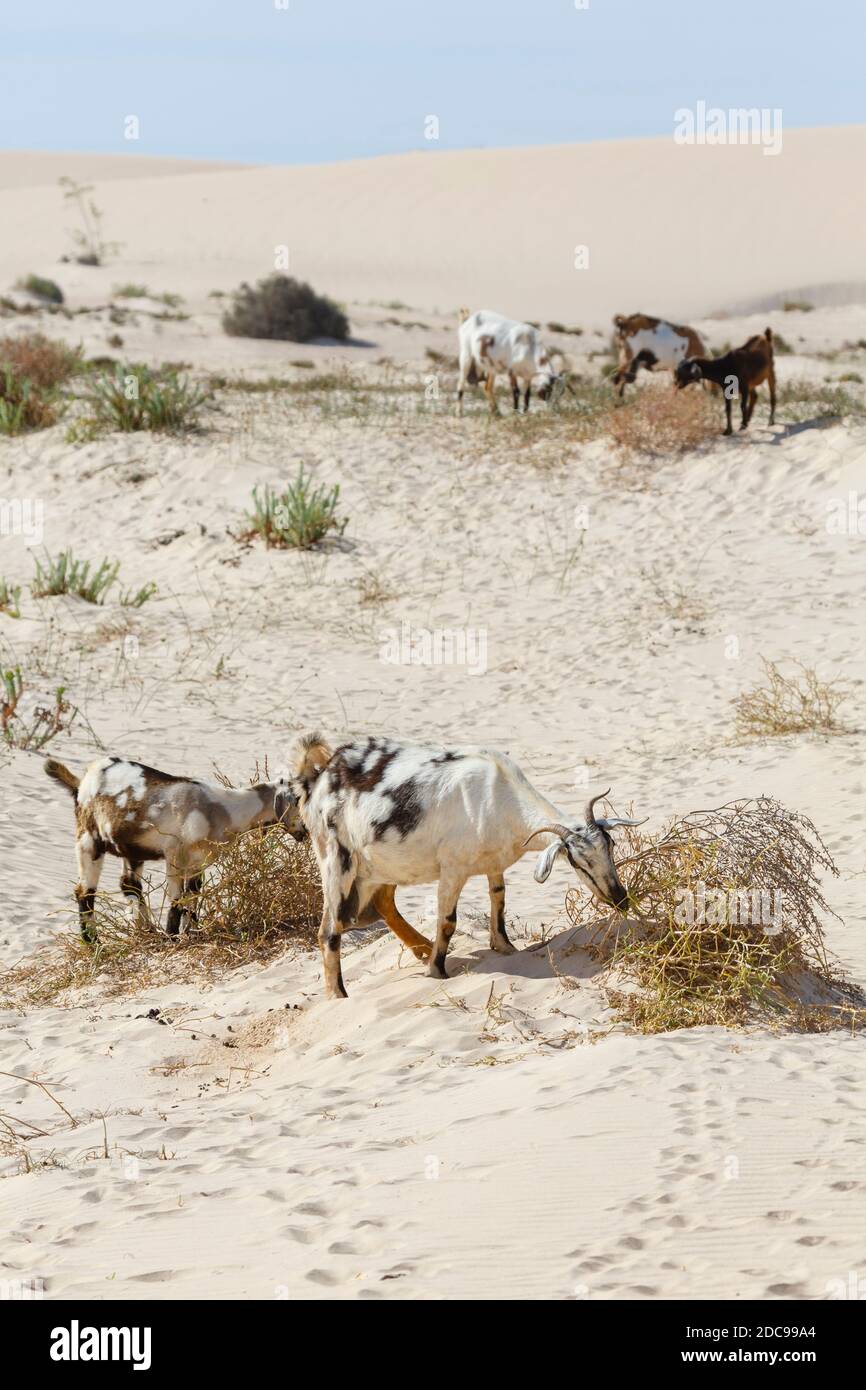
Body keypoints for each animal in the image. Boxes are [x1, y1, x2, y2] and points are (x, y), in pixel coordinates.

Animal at [291, 728, 644, 1000]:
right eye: (576, 861)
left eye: (611, 846)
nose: (620, 899)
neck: (497, 796)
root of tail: (318, 778)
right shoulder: (453, 868)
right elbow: (448, 920)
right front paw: (437, 971)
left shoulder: (493, 862)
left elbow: (499, 900)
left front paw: (505, 948)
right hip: (336, 859)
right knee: (329, 931)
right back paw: (338, 994)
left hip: (382, 866)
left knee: (384, 903)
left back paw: (422, 948)